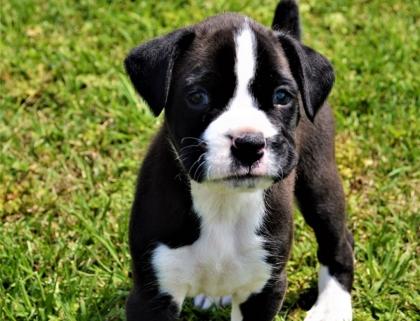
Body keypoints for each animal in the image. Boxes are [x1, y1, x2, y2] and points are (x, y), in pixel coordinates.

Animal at [124, 0, 354, 320]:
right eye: (198, 96)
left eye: (282, 96)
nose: (249, 144)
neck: (222, 203)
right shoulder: (151, 293)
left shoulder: (264, 289)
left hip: (319, 180)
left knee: (339, 240)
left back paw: (332, 307)